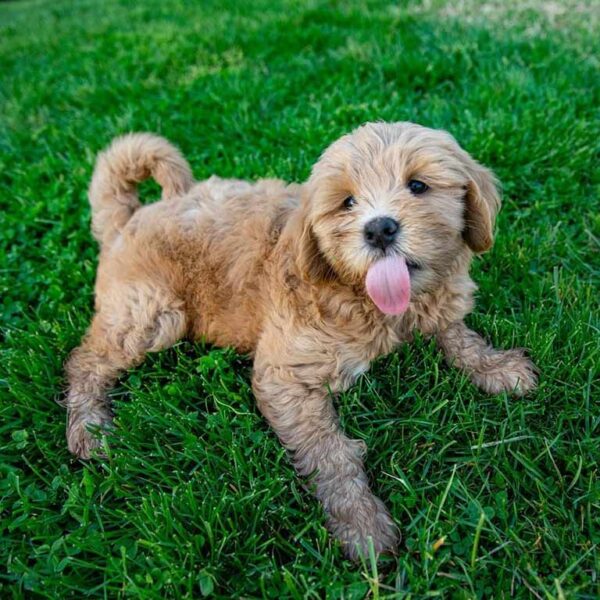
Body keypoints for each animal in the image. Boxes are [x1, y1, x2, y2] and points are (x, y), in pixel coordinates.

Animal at [63, 122, 536, 556]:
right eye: (347, 202)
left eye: (418, 185)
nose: (380, 229)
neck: (369, 302)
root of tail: (129, 218)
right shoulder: (285, 375)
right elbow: (330, 452)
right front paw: (361, 522)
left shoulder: (436, 307)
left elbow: (458, 335)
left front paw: (498, 367)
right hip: (152, 312)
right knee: (86, 360)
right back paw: (89, 428)